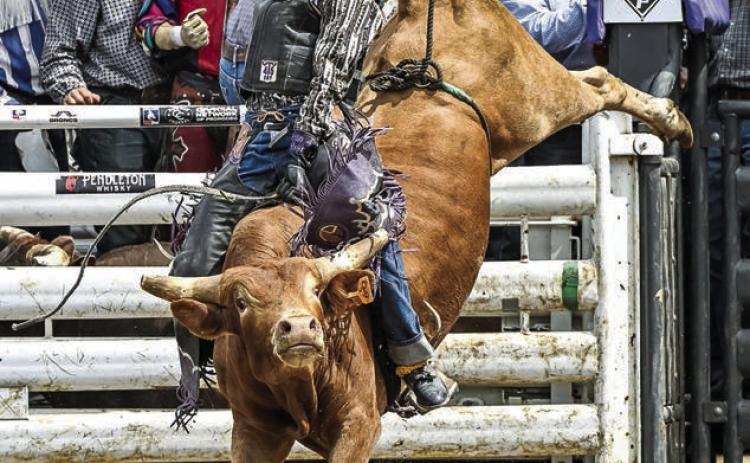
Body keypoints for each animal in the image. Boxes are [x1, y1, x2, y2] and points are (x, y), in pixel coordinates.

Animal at [101, 0, 697, 461]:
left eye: (317, 294)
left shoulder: (358, 424)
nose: (299, 330)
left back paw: (673, 120)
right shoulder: (253, 430)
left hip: (535, 98)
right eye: (242, 302)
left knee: (597, 81)